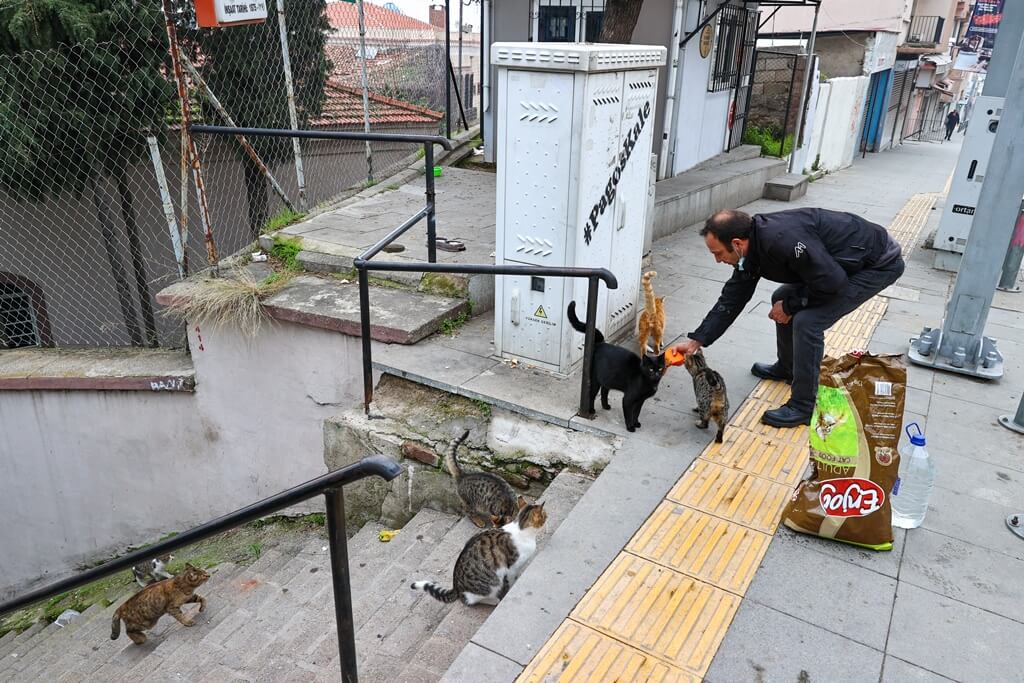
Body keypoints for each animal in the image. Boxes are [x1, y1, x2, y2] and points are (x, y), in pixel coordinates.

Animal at [411, 499, 548, 606]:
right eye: (545, 515)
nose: (548, 516)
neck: (521, 528)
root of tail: (456, 586)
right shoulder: (511, 568)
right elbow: (512, 579)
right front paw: (511, 587)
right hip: (491, 584)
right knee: (470, 600)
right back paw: (494, 600)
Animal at [565, 301, 667, 432]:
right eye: (650, 369)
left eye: (660, 368)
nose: (656, 374)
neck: (647, 381)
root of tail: (601, 343)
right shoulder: (629, 399)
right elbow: (629, 413)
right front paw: (630, 427)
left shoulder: (640, 401)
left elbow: (637, 413)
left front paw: (636, 423)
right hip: (595, 379)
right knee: (592, 395)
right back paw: (591, 410)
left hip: (608, 376)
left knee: (604, 390)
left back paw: (606, 406)